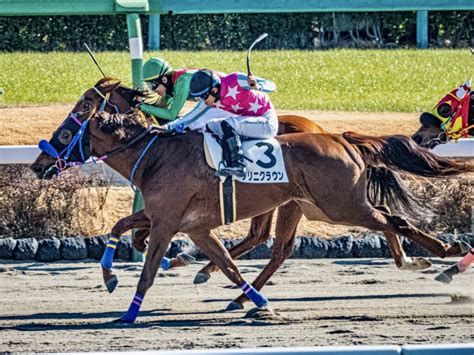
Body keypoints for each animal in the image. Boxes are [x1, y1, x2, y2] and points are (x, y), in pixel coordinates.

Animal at [31, 84, 472, 326]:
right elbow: (127, 230)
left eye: (68, 129)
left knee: (392, 221)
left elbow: (149, 268)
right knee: (379, 223)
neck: (156, 154)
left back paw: (445, 253)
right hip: (320, 204)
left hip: (338, 205)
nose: (38, 164)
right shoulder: (186, 224)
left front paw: (129, 312)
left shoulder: (167, 222)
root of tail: (340, 137)